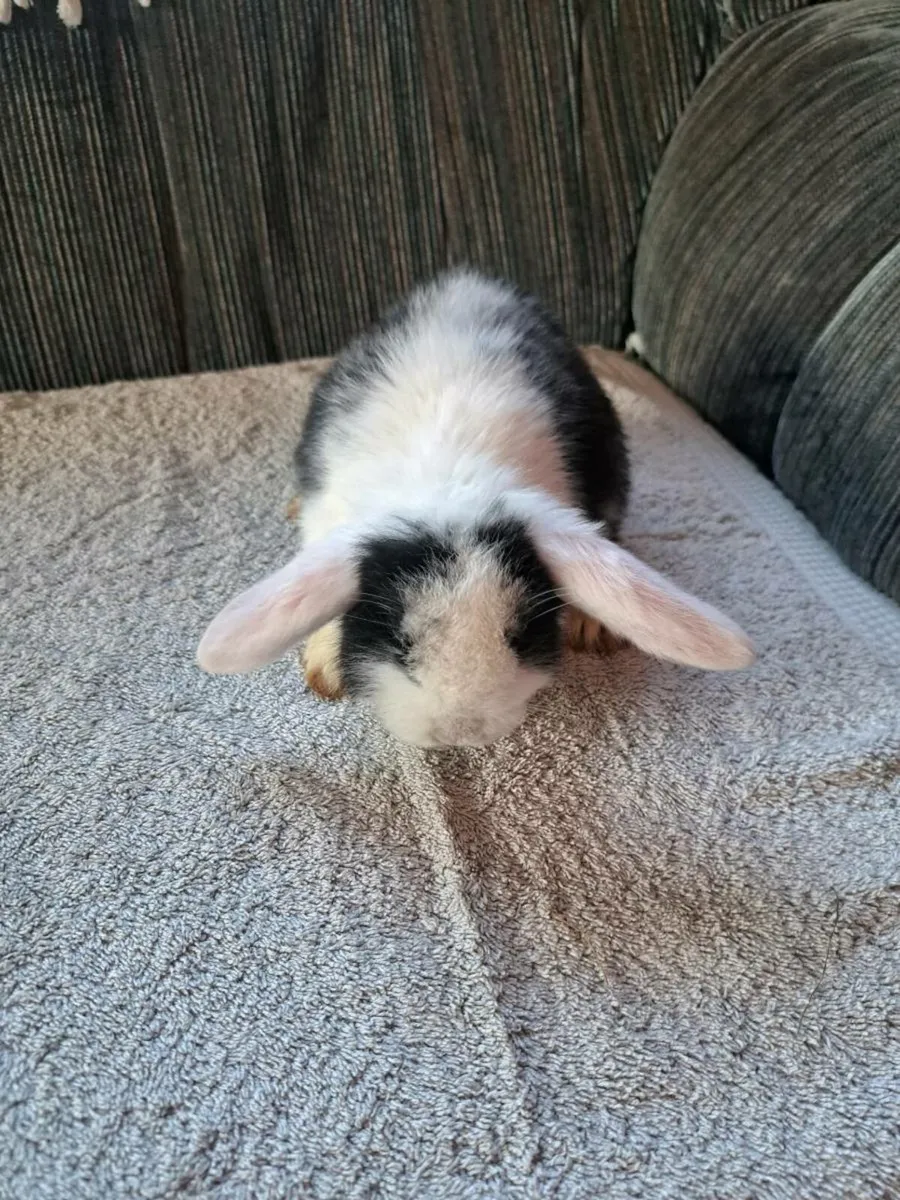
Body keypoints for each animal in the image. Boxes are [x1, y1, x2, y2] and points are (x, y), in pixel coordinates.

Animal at [197, 269, 754, 747]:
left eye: (518, 635)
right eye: (401, 642)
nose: (460, 733)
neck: (447, 476)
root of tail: (471, 282)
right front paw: (327, 665)